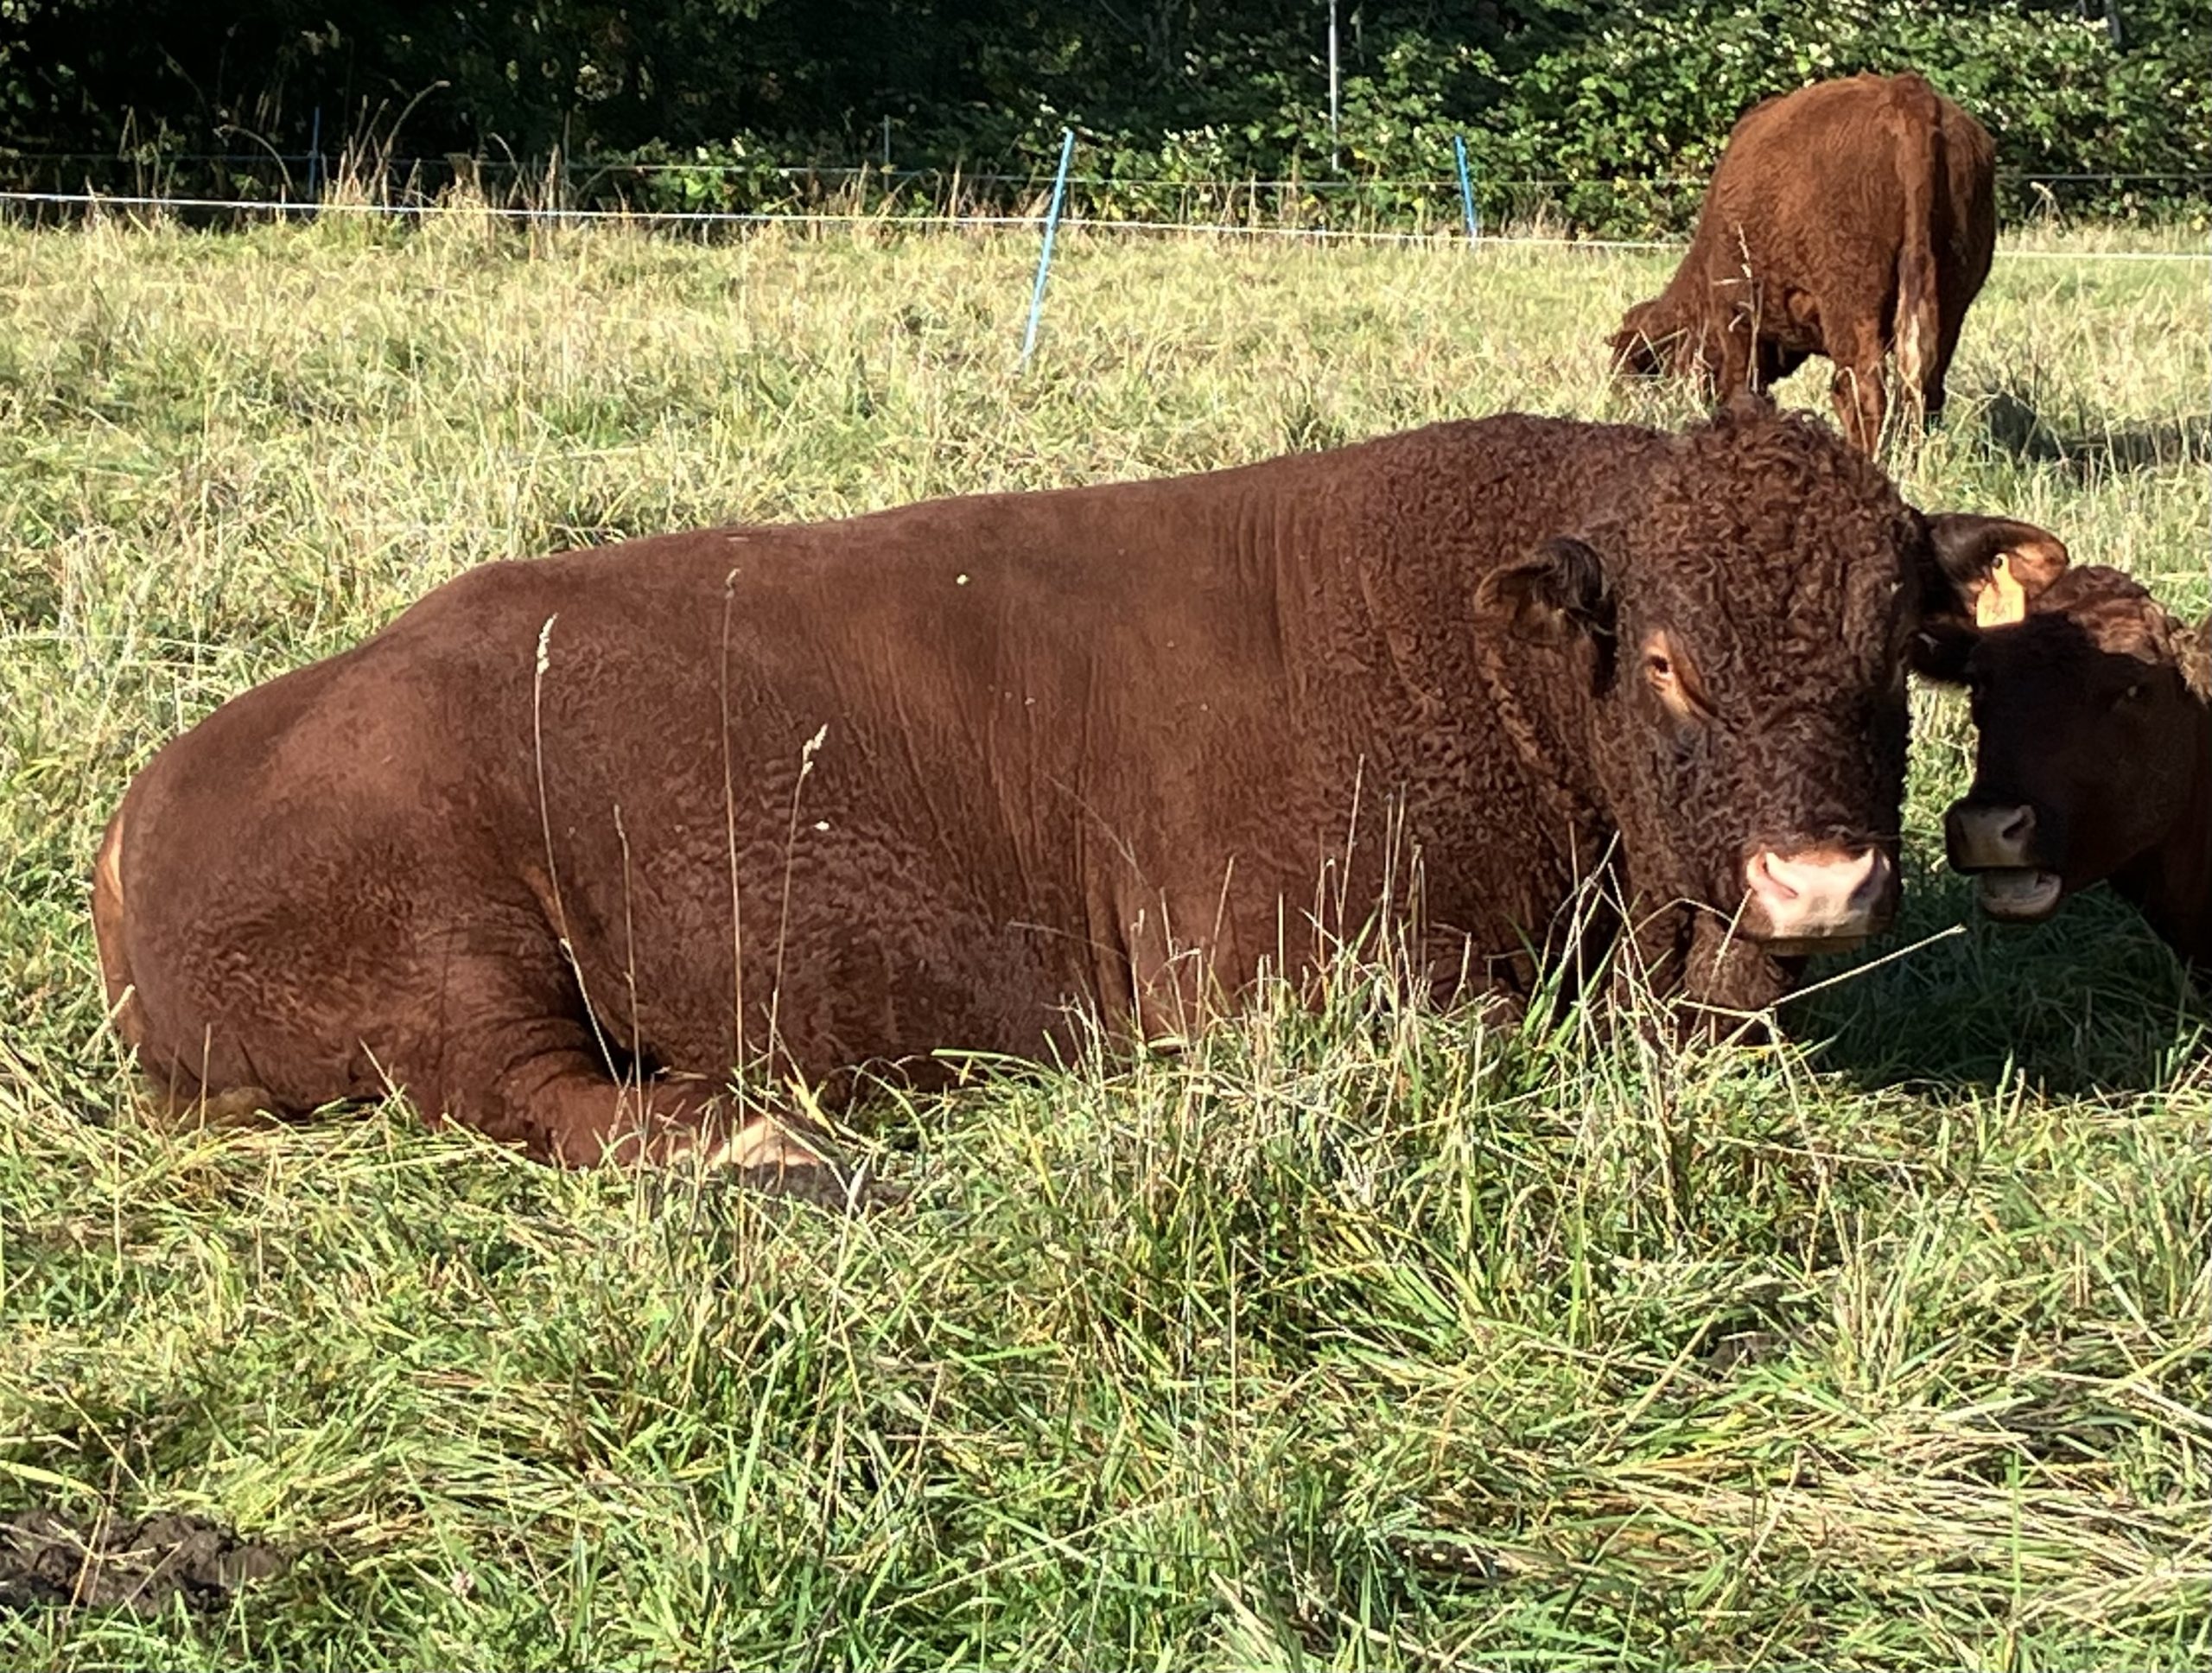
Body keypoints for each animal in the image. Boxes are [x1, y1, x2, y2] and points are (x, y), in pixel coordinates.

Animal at [91, 399, 2059, 1185]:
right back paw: (754, 1140)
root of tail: (151, 796)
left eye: (1898, 647)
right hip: (447, 948)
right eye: (1661, 659)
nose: (1817, 882)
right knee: (539, 1095)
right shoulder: (1286, 975)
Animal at [1609, 72, 1997, 453]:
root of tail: (1907, 94)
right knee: (1923, 392)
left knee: (1863, 393)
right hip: (1949, 304)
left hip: (1851, 304)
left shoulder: (1734, 315)